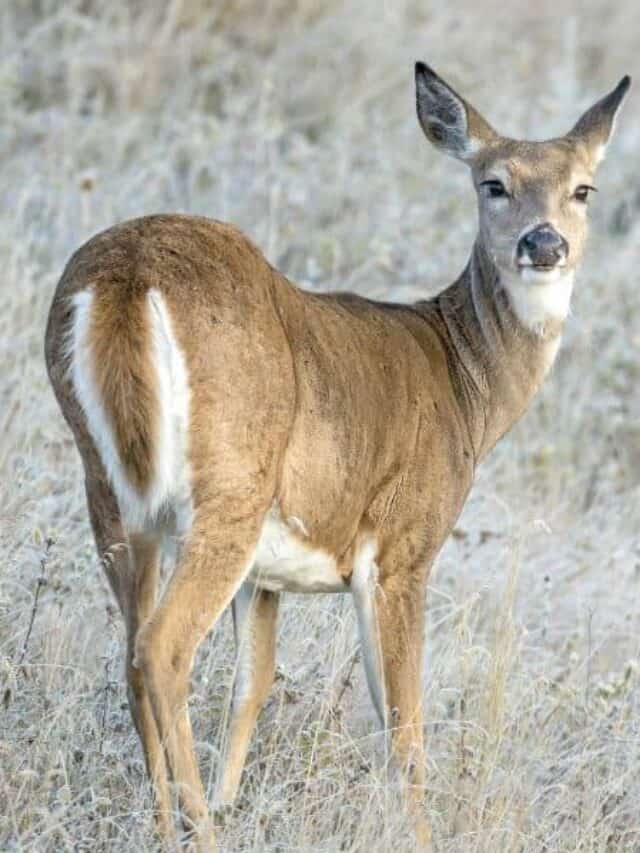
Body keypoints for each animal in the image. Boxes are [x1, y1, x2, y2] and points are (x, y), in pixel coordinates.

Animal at [45, 62, 630, 849]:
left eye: (582, 188)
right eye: (493, 183)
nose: (544, 244)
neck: (464, 383)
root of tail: (126, 277)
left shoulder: (268, 574)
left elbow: (252, 686)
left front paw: (232, 800)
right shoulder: (402, 549)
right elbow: (402, 723)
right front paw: (416, 834)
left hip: (109, 493)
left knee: (134, 651)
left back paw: (168, 824)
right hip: (229, 486)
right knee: (162, 649)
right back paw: (198, 831)